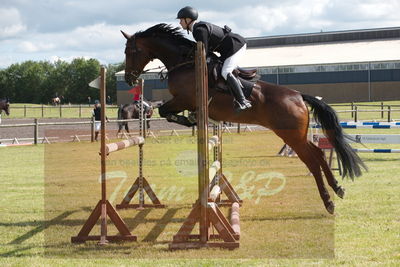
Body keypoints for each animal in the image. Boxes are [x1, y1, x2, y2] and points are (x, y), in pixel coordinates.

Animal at [120, 23, 368, 216]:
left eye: (130, 51)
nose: (129, 79)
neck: (184, 62)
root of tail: (298, 95)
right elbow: (165, 112)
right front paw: (190, 120)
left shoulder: (183, 99)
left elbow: (165, 111)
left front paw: (189, 120)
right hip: (296, 134)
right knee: (318, 153)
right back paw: (337, 188)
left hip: (291, 136)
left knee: (312, 161)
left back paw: (328, 202)